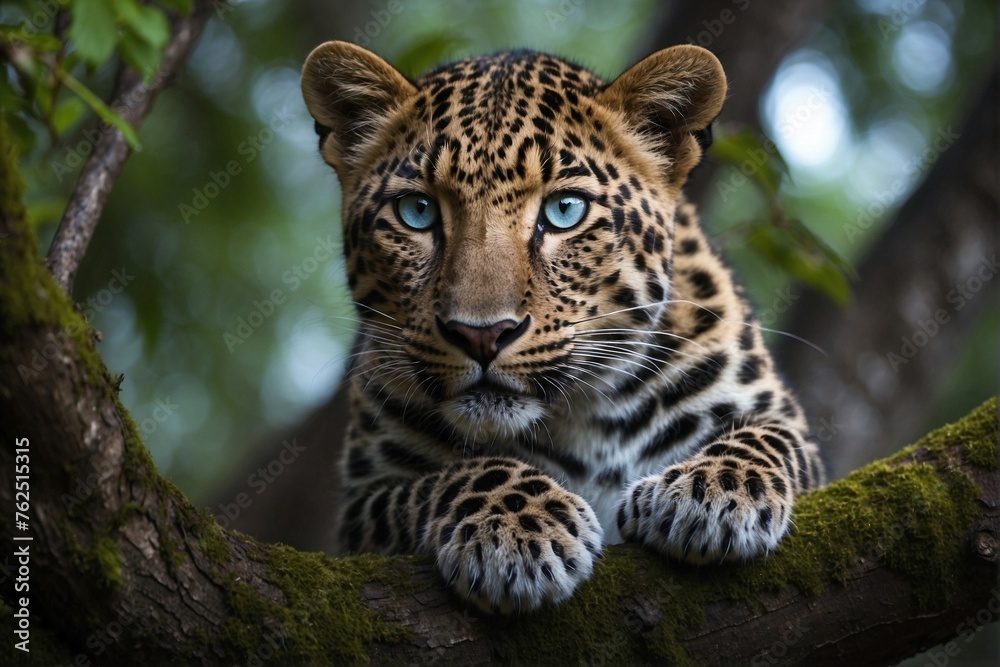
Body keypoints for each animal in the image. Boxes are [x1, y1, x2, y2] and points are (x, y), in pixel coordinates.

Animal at [301, 40, 826, 615]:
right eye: (416, 212)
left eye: (564, 210)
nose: (482, 335)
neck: (582, 416)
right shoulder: (360, 509)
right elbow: (440, 477)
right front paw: (515, 528)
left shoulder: (790, 430)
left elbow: (772, 437)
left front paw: (711, 493)